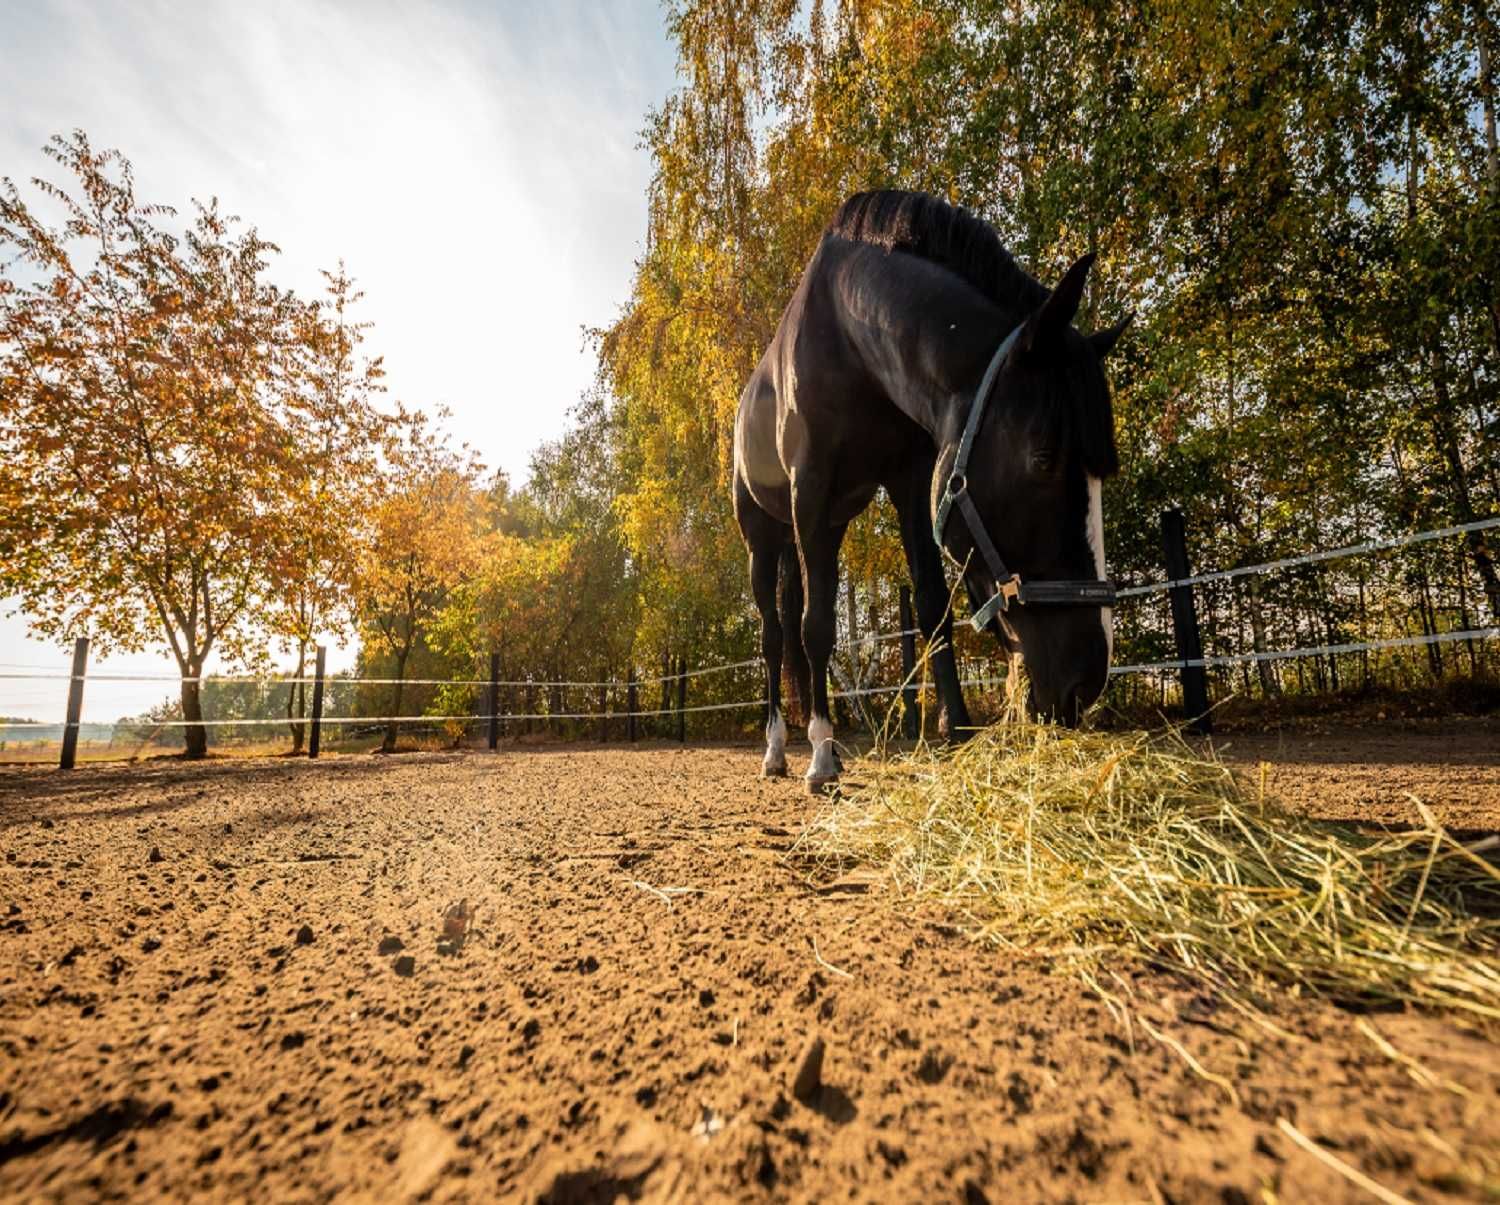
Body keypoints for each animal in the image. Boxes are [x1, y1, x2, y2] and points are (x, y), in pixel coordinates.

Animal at [726, 189, 1128, 792]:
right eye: (1043, 458)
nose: (1087, 680)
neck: (846, 338)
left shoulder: (911, 483)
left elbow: (932, 603)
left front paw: (955, 728)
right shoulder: (811, 489)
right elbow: (817, 626)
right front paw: (819, 757)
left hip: (823, 527)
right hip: (766, 533)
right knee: (775, 636)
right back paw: (779, 750)